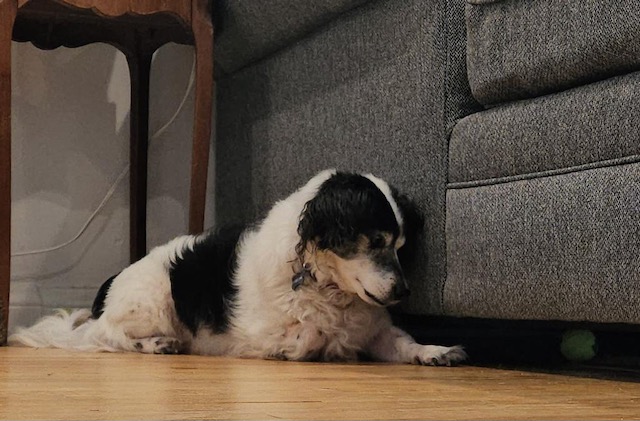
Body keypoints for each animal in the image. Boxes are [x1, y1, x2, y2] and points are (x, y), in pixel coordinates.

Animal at [10, 167, 468, 364]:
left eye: (402, 247)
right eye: (375, 241)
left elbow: (403, 342)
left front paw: (434, 350)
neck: (326, 288)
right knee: (109, 336)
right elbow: (306, 335)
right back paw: (159, 345)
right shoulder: (257, 333)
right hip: (153, 303)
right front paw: (300, 349)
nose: (404, 290)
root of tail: (109, 287)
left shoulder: (375, 331)